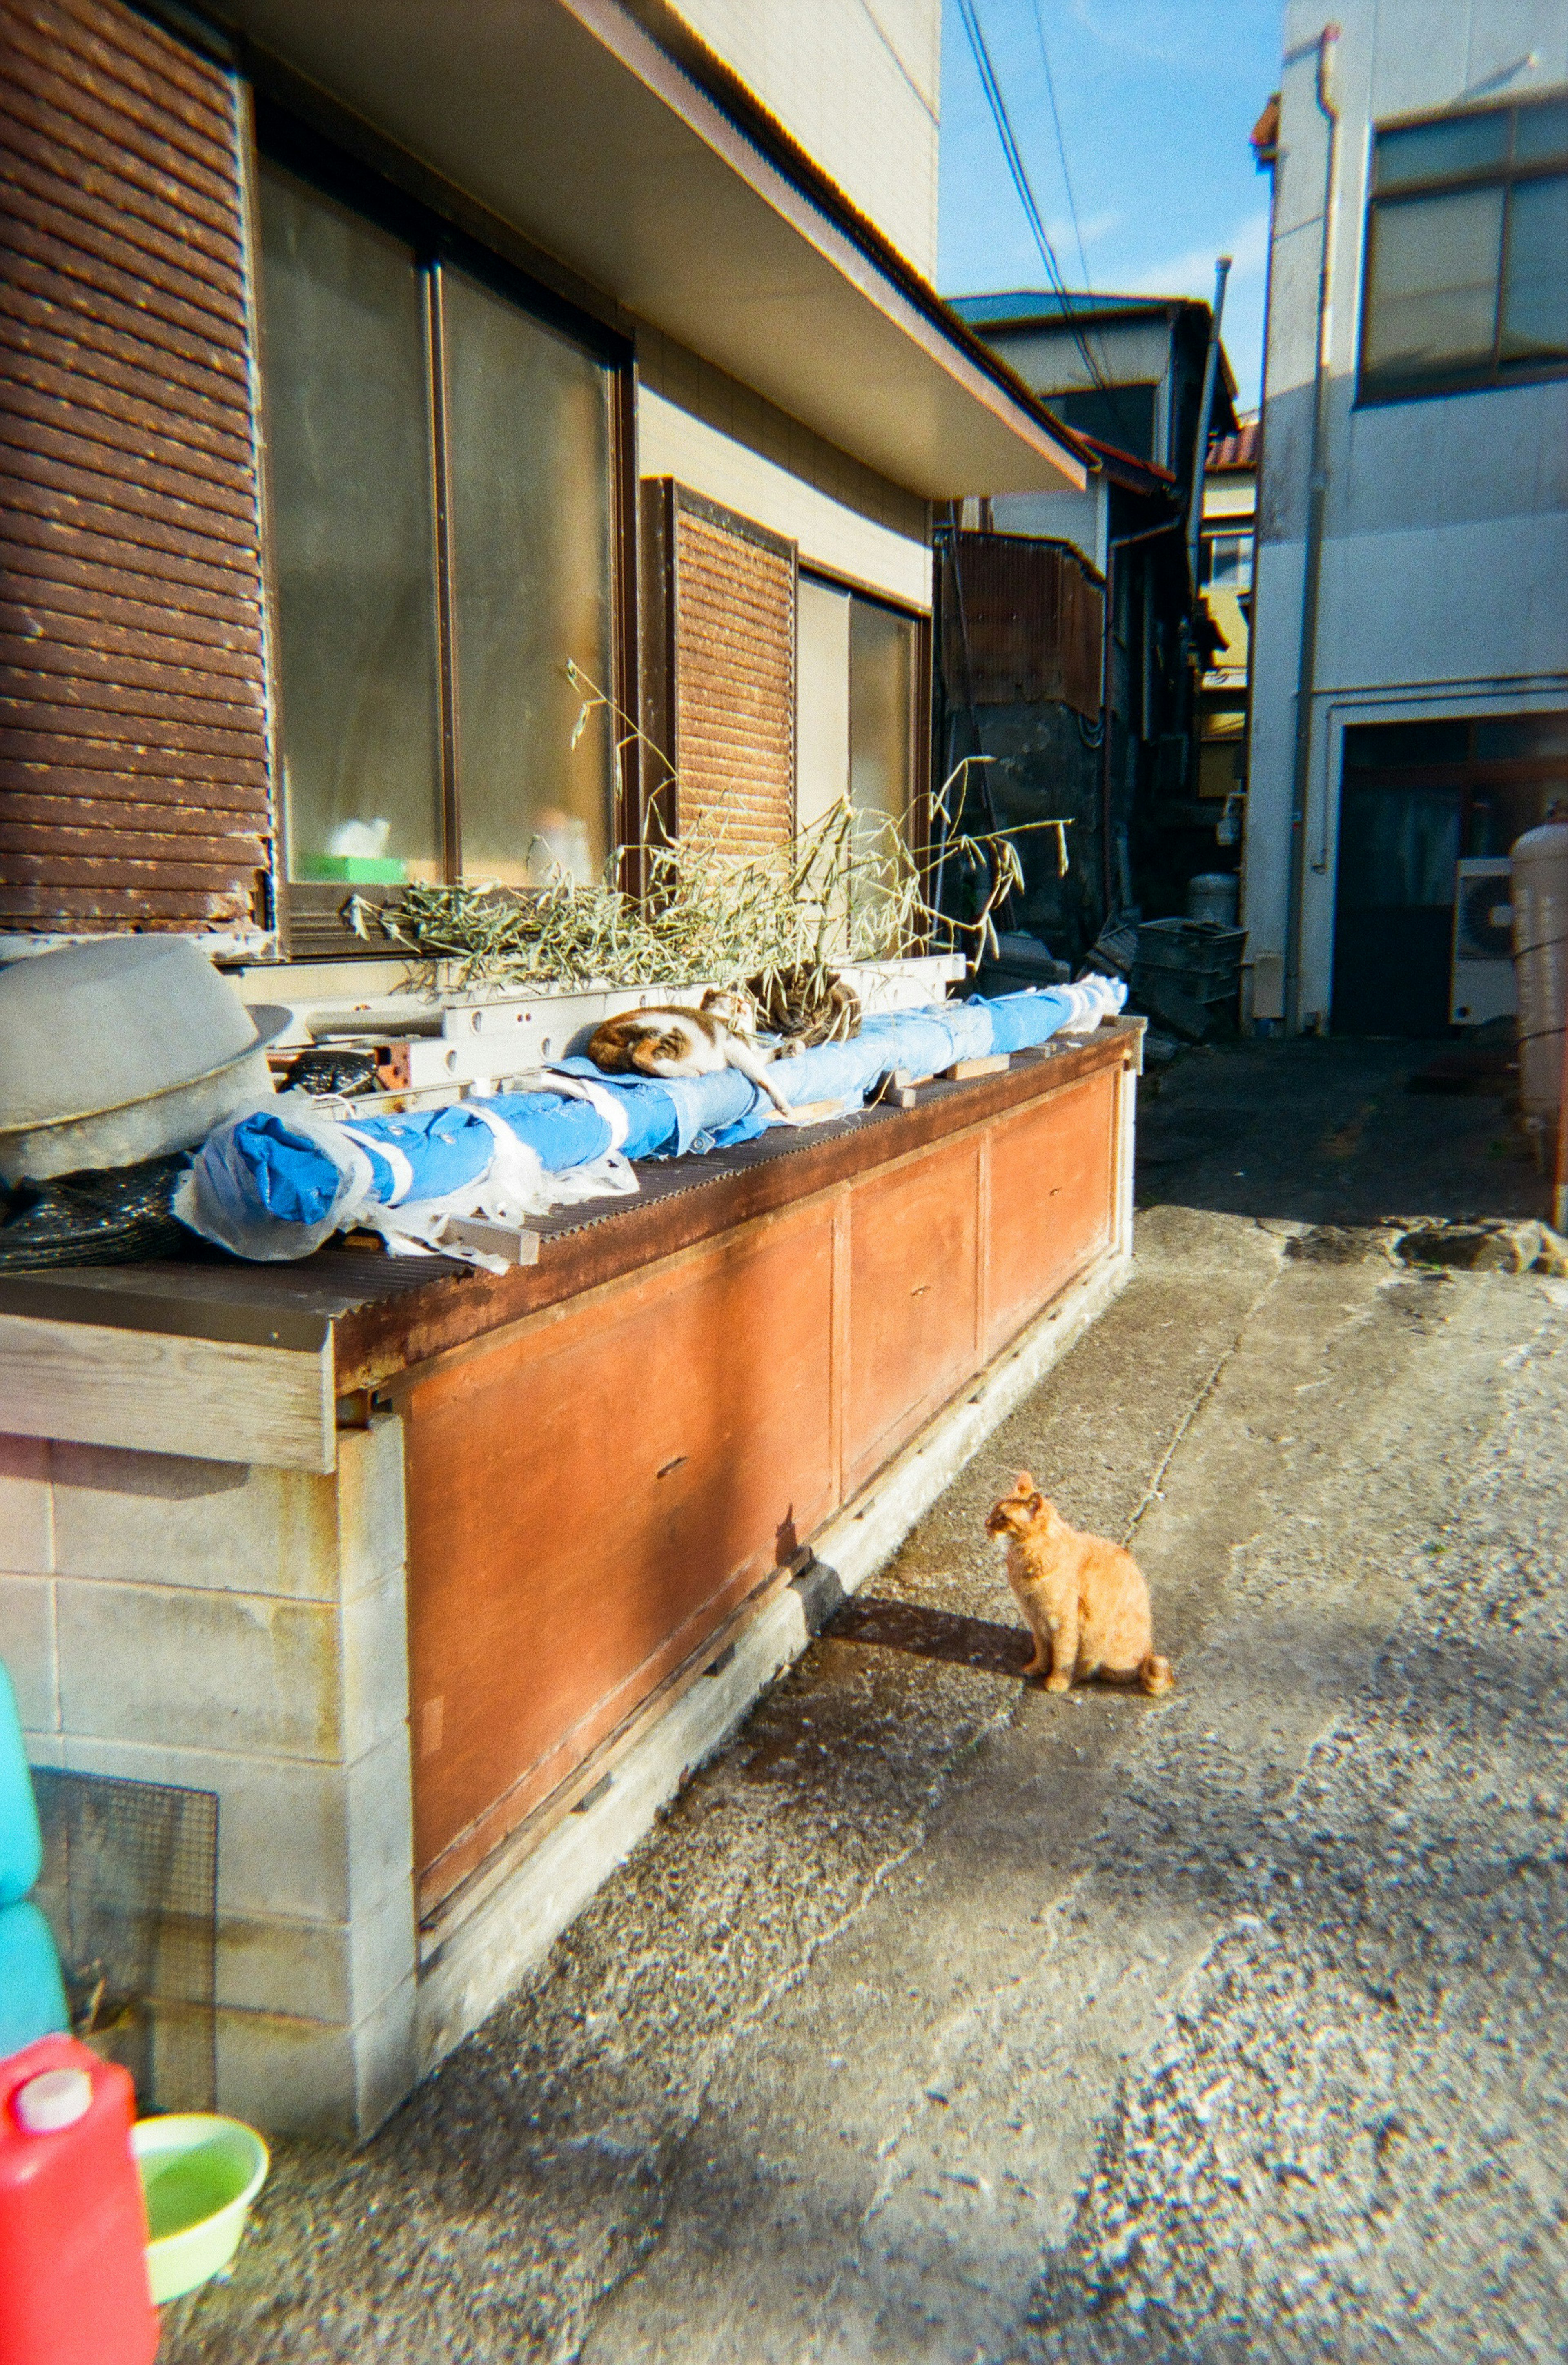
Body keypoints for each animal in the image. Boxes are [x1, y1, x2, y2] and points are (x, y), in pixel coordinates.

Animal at [988, 1466, 1173, 1693]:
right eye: (994, 1511)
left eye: (1003, 1518)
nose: (986, 1524)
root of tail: (1149, 1653)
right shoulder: (1035, 1620)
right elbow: (1042, 1651)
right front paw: (1037, 1669)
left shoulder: (1063, 1623)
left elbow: (1062, 1658)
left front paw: (1057, 1683)